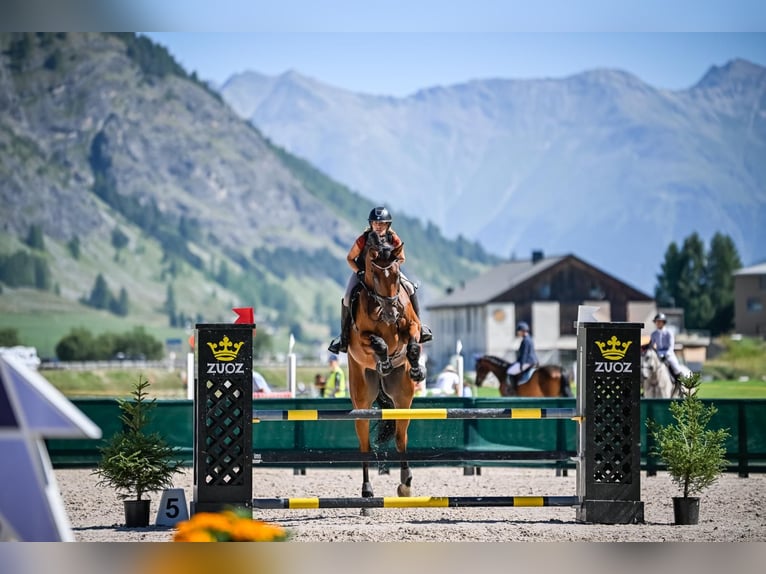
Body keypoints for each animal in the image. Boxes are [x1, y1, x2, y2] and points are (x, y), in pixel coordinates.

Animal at [348, 233, 426, 504]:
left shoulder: (411, 325)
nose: (392, 313)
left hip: (402, 398)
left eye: (396, 273)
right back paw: (366, 492)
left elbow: (412, 344)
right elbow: (379, 343)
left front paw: (417, 370)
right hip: (361, 400)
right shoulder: (361, 338)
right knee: (364, 447)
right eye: (374, 273)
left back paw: (406, 484)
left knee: (401, 438)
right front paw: (383, 361)